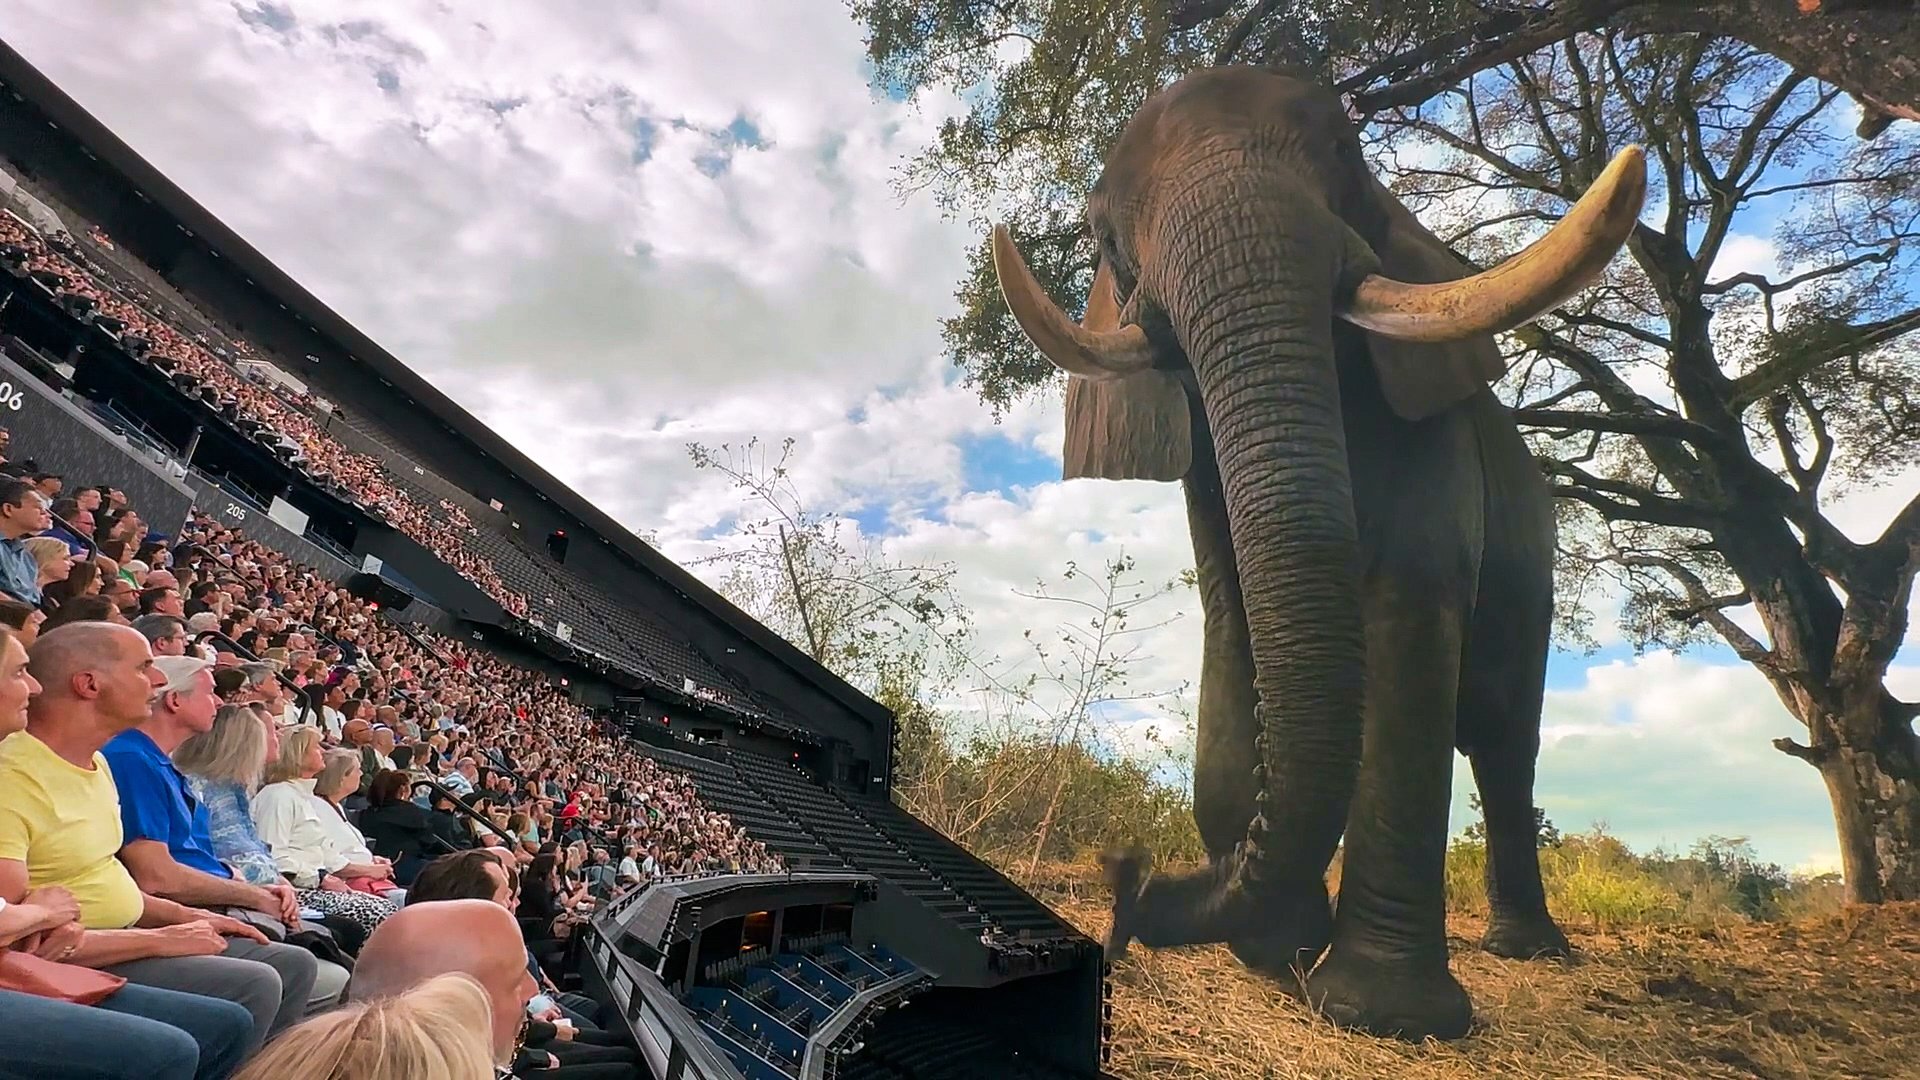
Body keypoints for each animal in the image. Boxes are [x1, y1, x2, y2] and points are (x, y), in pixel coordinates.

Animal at [990, 65, 1651, 1037]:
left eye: (1346, 155)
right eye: (1102, 234)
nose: (1126, 880)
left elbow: (1410, 607)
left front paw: (1378, 1013)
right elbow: (1232, 619)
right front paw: (1277, 951)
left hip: (1536, 560)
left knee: (1501, 737)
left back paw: (1527, 952)